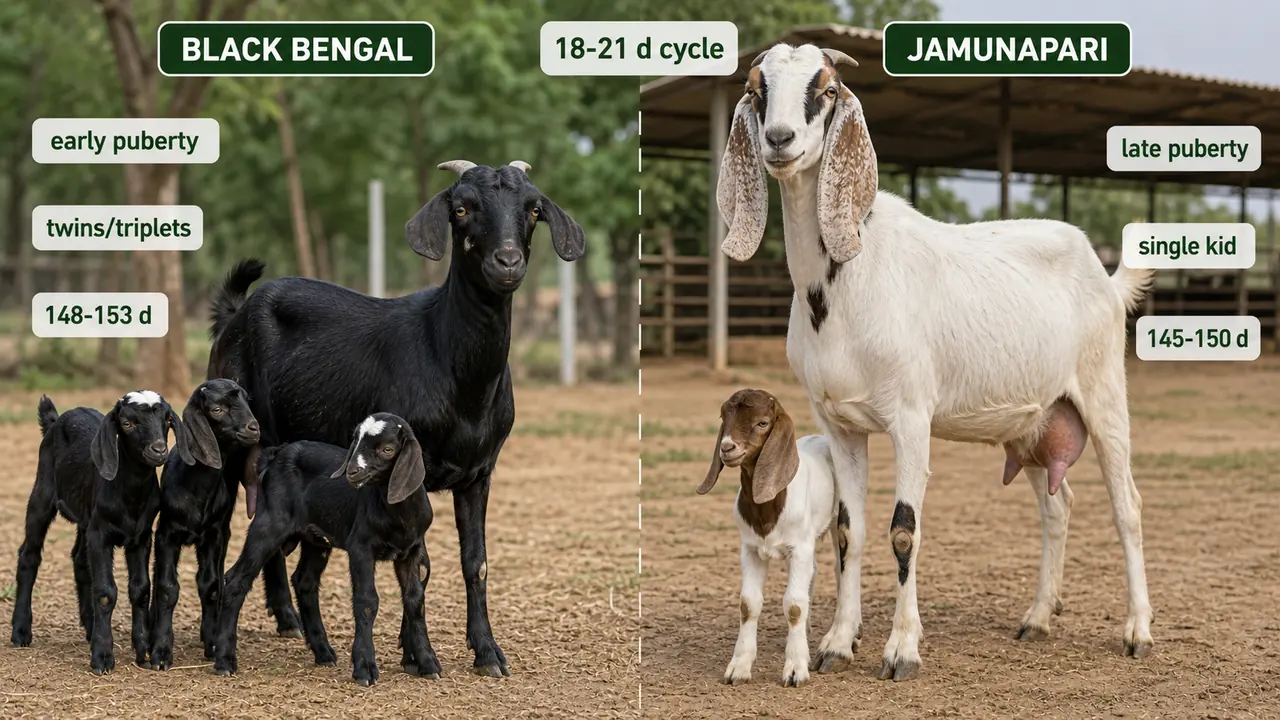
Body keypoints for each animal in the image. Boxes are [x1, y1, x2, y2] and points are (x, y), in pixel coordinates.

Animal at [10, 391, 192, 673]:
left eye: (167, 419)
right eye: (127, 423)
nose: (159, 449)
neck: (130, 494)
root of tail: (55, 420)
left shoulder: (140, 537)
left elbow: (140, 589)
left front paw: (143, 650)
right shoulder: (100, 536)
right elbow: (106, 592)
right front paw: (103, 656)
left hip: (86, 518)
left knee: (79, 559)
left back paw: (90, 626)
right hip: (42, 493)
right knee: (29, 556)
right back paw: (20, 631)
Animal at [149, 379, 302, 670]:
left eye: (246, 401)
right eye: (217, 409)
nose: (254, 428)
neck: (196, 487)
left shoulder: (214, 535)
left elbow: (209, 585)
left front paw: (212, 643)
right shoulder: (167, 535)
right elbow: (167, 587)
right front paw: (160, 653)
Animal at [211, 413, 435, 686]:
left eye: (387, 449)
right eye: (355, 441)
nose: (352, 472)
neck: (396, 513)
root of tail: (277, 454)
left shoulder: (410, 551)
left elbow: (415, 600)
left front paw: (427, 663)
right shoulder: (361, 547)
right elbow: (367, 600)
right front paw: (365, 668)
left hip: (315, 538)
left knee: (305, 582)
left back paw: (323, 651)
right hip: (269, 523)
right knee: (236, 580)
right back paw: (224, 660)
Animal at [697, 389, 839, 688]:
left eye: (762, 423)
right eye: (723, 417)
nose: (727, 448)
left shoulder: (799, 547)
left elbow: (794, 605)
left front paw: (795, 669)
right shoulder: (750, 548)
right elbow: (748, 604)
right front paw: (738, 668)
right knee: (814, 571)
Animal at [715, 43, 1155, 681]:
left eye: (826, 90)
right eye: (756, 89)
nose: (778, 138)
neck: (847, 279)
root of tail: (1107, 276)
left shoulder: (910, 417)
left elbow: (904, 532)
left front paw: (901, 651)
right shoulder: (839, 423)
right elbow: (848, 532)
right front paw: (837, 641)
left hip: (1103, 391)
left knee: (1127, 506)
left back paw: (1138, 630)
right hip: (1038, 421)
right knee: (1058, 506)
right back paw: (1037, 619)